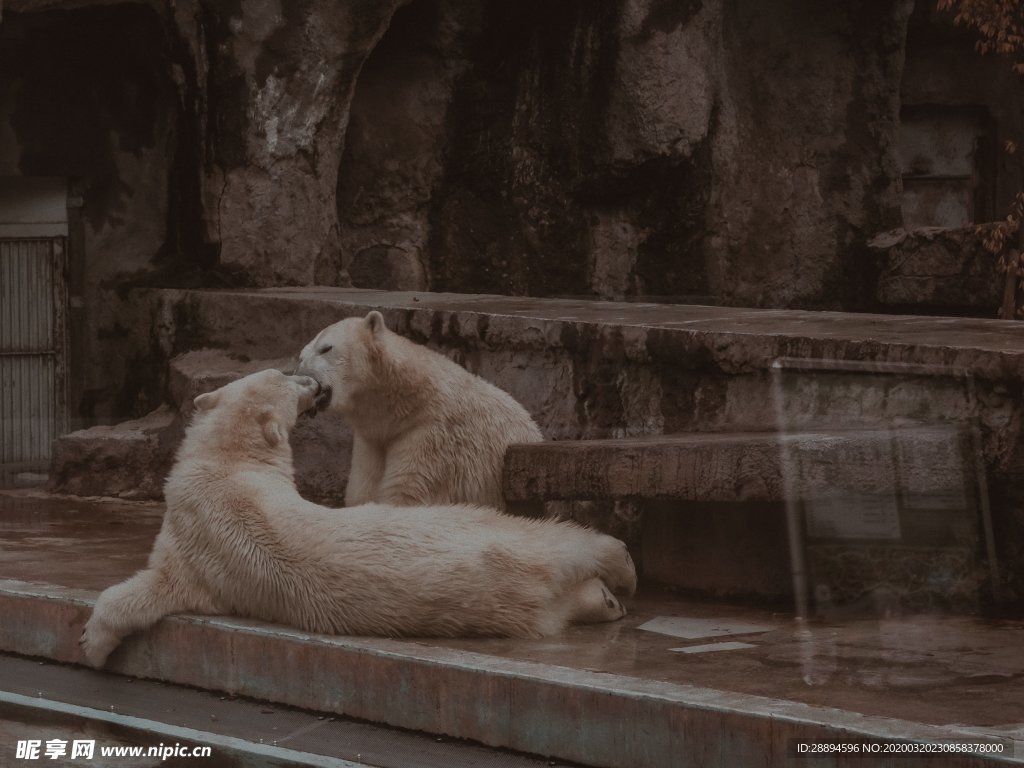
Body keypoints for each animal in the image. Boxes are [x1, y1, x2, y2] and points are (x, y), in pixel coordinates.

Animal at [79, 370, 634, 667]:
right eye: (289, 379)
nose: (312, 381)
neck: (229, 464)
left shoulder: (192, 534)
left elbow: (146, 587)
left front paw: (90, 640)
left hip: (474, 522)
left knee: (561, 536)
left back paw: (622, 565)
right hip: (510, 597)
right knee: (553, 595)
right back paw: (605, 600)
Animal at [294, 313, 544, 512]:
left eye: (326, 348)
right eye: (301, 356)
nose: (302, 374)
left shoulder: (434, 437)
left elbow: (407, 493)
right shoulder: (372, 440)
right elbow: (363, 490)